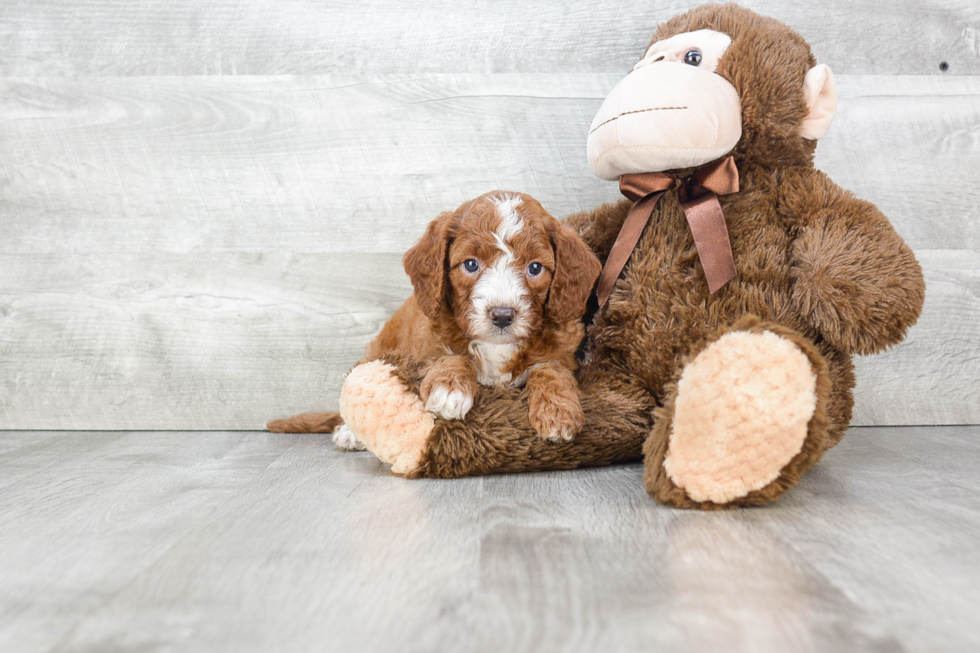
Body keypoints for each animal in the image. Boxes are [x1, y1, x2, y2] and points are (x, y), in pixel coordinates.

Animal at [270, 190, 604, 448]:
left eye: (535, 268)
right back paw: (350, 433)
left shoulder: (562, 353)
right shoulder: (425, 346)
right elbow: (448, 356)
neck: (496, 347)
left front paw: (558, 413)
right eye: (471, 264)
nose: (502, 315)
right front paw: (449, 389)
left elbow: (551, 370)